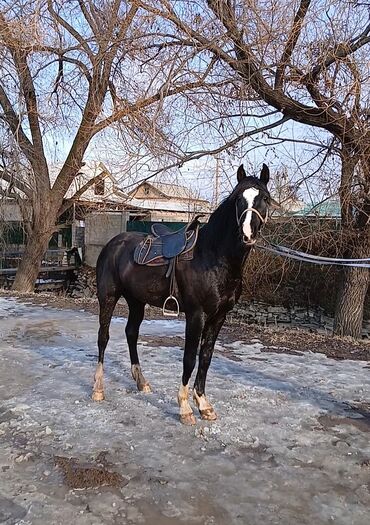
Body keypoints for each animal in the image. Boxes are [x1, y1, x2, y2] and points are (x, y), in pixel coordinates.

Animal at [92, 166, 272, 424]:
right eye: (238, 199)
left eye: (265, 198)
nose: (247, 234)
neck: (212, 256)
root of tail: (112, 244)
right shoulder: (196, 315)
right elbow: (189, 358)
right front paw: (185, 407)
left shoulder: (219, 317)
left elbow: (206, 357)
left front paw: (204, 404)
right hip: (107, 298)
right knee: (103, 338)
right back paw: (98, 389)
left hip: (136, 301)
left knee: (131, 333)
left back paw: (142, 382)